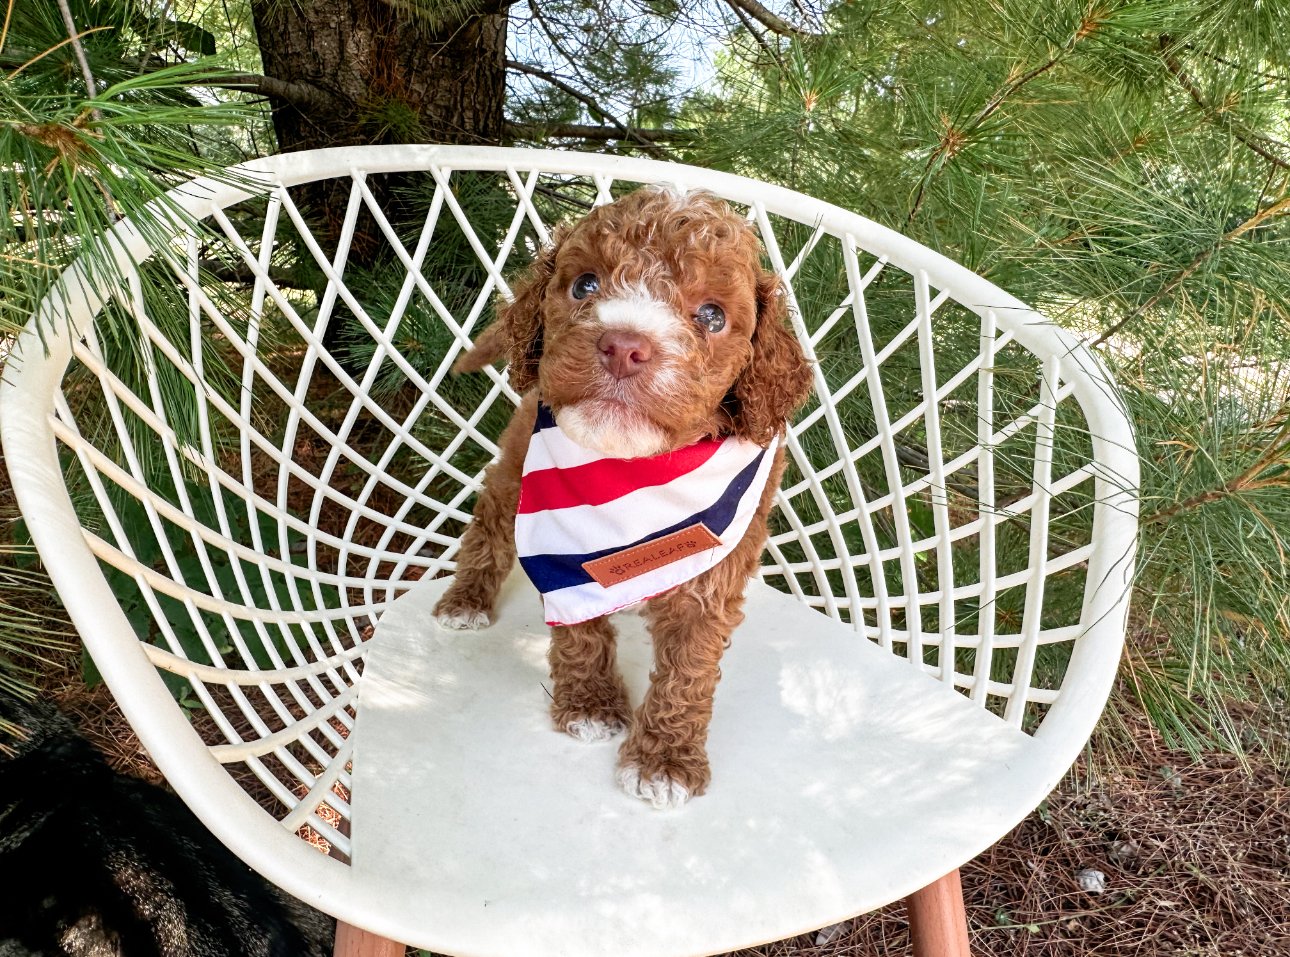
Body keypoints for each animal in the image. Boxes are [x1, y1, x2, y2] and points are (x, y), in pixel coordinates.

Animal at [436, 187, 815, 809]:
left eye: (712, 316)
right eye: (584, 285)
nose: (623, 347)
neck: (636, 474)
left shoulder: (715, 569)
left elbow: (690, 669)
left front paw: (665, 760)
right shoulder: (565, 551)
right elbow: (578, 625)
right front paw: (589, 705)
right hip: (516, 468)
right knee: (490, 521)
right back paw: (466, 598)